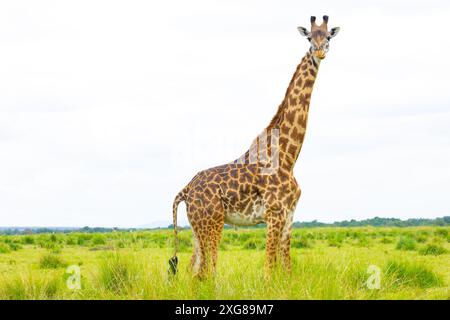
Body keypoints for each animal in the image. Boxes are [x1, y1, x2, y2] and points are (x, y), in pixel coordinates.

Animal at [170, 16, 342, 278]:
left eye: (329, 37)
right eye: (310, 38)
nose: (320, 52)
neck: (289, 156)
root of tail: (185, 190)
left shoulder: (289, 215)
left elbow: (287, 268)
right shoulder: (274, 214)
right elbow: (269, 269)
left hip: (197, 226)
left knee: (194, 271)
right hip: (212, 222)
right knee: (206, 271)